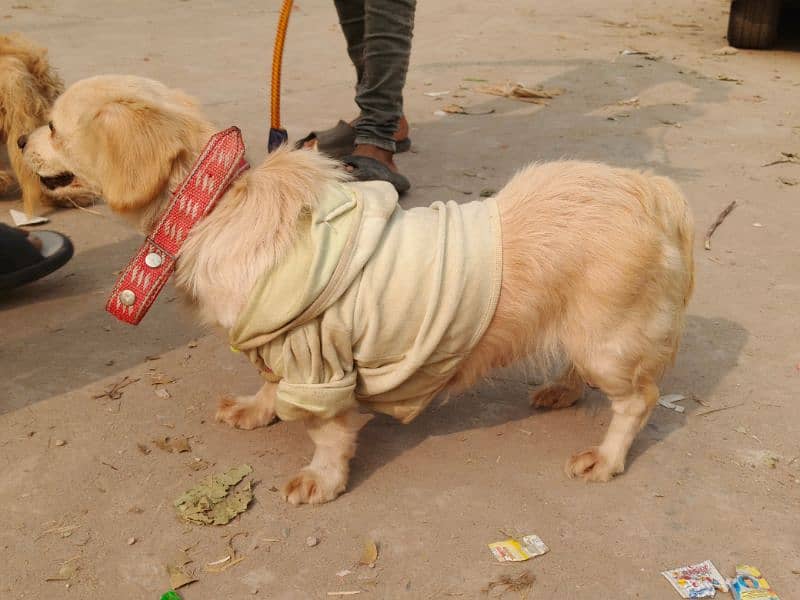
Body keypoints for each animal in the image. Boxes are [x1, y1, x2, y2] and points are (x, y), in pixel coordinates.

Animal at [18, 76, 692, 506]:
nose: (19, 141)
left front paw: (321, 480)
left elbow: (327, 433)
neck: (218, 207)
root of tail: (652, 191)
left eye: (51, 124)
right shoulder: (278, 350)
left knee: (637, 400)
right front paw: (256, 411)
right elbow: (269, 387)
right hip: (582, 332)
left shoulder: (318, 364)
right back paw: (560, 389)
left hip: (607, 342)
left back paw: (605, 458)